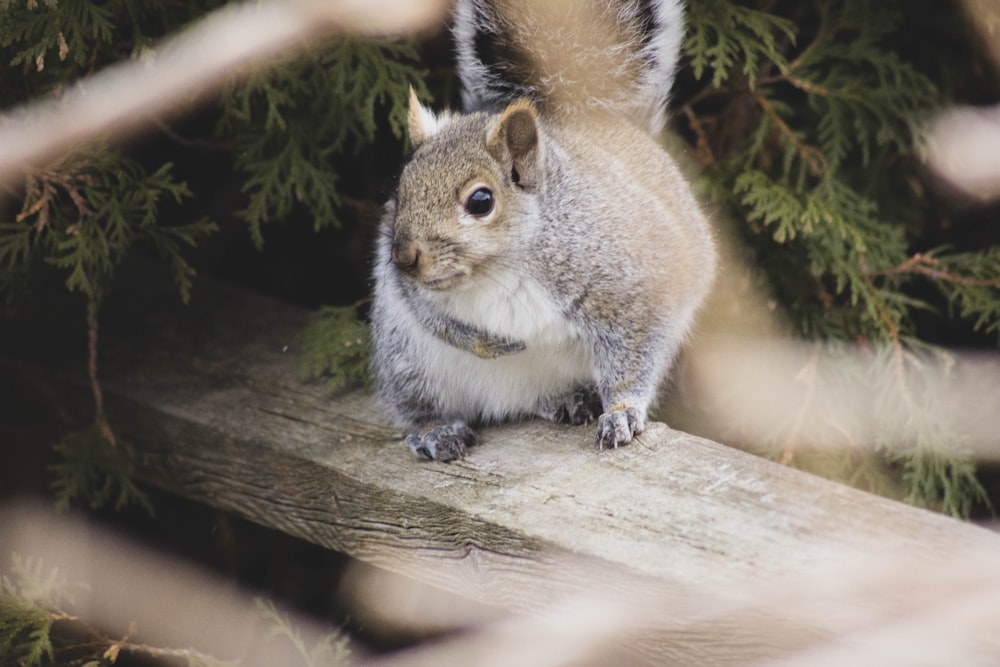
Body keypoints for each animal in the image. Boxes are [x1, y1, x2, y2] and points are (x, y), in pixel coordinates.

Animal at [372, 0, 716, 460]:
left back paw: (574, 400)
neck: (501, 267)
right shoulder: (409, 292)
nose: (404, 258)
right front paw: (487, 344)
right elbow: (433, 317)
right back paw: (436, 430)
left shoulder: (633, 287)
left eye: (481, 202)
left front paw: (621, 412)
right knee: (421, 405)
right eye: (400, 189)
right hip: (407, 364)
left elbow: (632, 358)